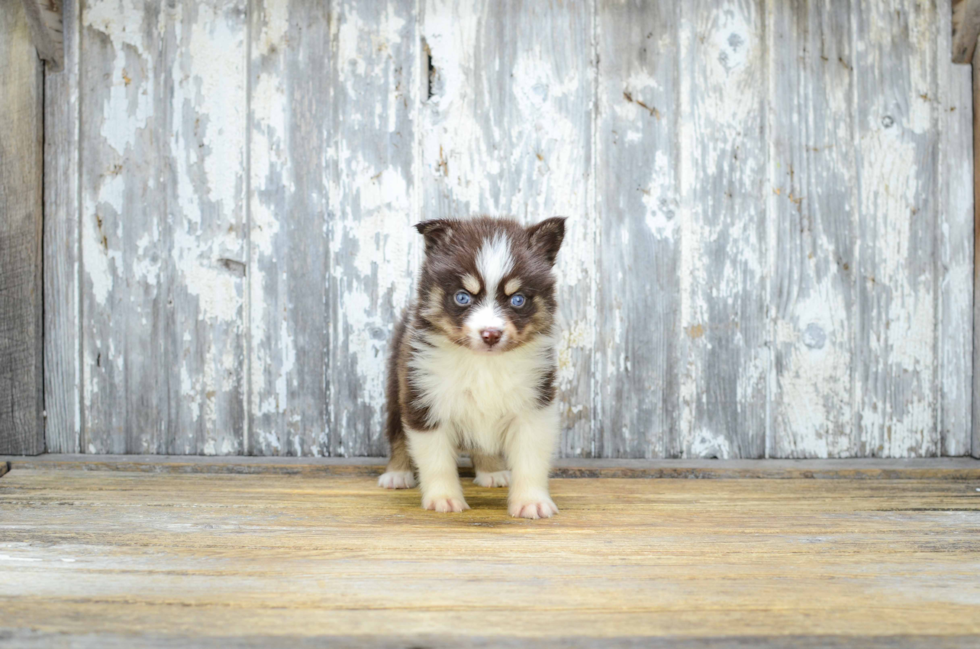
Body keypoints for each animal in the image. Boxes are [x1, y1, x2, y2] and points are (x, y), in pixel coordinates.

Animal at [380, 215, 568, 520]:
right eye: (462, 297)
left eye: (517, 299)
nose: (490, 334)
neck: (484, 363)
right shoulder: (424, 397)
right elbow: (437, 460)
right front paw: (443, 499)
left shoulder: (534, 406)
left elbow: (531, 459)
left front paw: (532, 502)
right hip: (397, 383)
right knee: (397, 432)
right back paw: (397, 474)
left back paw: (492, 471)